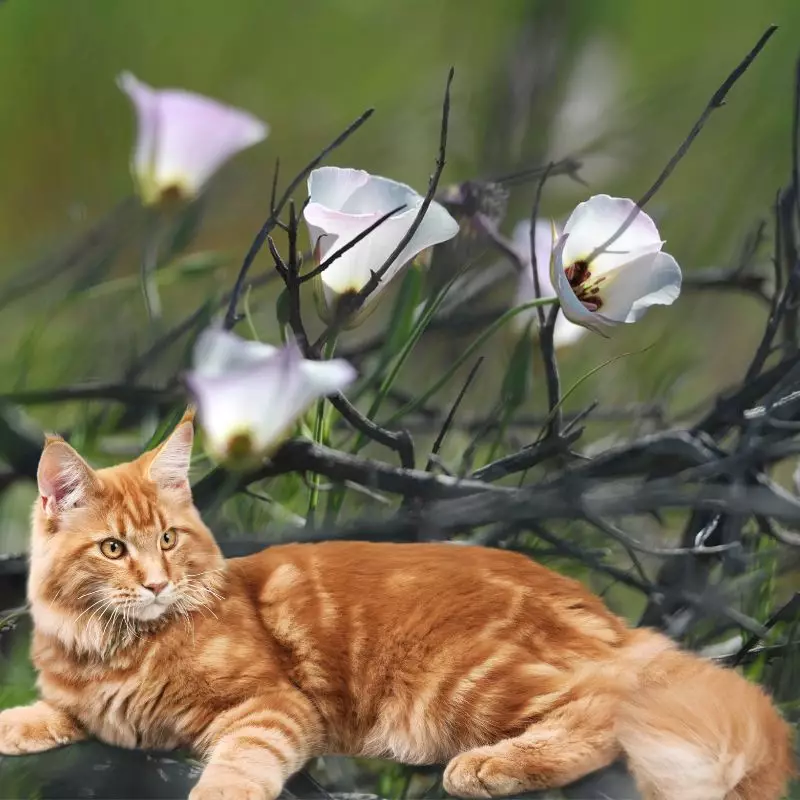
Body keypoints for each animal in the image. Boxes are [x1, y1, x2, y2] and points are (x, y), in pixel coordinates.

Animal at [0, 412, 792, 800]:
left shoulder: (270, 706)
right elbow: (46, 713)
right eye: (113, 549)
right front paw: (16, 725)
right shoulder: (85, 707)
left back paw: (491, 768)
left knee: (607, 706)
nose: (158, 583)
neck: (112, 650)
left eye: (167, 539)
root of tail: (603, 614)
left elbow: (238, 766)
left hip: (465, 679)